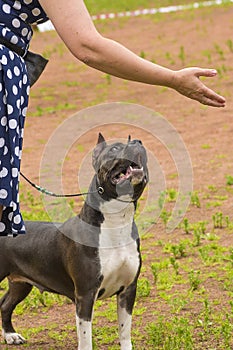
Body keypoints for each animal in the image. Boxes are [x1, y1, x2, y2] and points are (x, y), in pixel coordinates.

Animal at [0, 133, 148, 348]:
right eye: (115, 148)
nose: (138, 142)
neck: (116, 222)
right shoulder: (85, 294)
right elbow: (85, 338)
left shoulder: (128, 290)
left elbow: (124, 332)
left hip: (21, 283)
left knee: (5, 304)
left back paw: (11, 335)